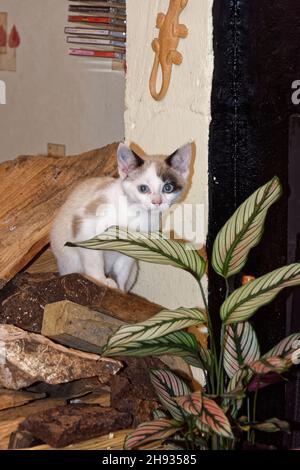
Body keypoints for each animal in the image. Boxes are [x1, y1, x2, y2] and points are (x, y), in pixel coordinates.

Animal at [50, 141, 192, 292]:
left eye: (168, 188)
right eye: (143, 188)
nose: (157, 202)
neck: (136, 214)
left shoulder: (135, 246)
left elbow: (123, 270)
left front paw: (121, 289)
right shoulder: (85, 227)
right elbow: (93, 260)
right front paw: (100, 280)